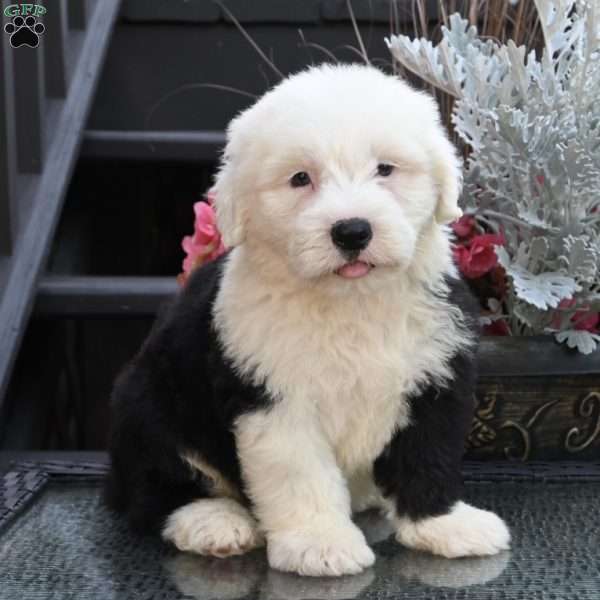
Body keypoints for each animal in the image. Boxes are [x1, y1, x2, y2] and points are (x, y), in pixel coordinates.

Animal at [105, 64, 508, 576]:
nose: (352, 231)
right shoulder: (276, 398)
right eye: (300, 178)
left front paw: (443, 524)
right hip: (149, 403)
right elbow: (301, 473)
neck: (351, 302)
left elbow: (428, 452)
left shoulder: (434, 374)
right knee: (155, 491)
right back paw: (214, 521)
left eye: (385, 169)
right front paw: (320, 544)